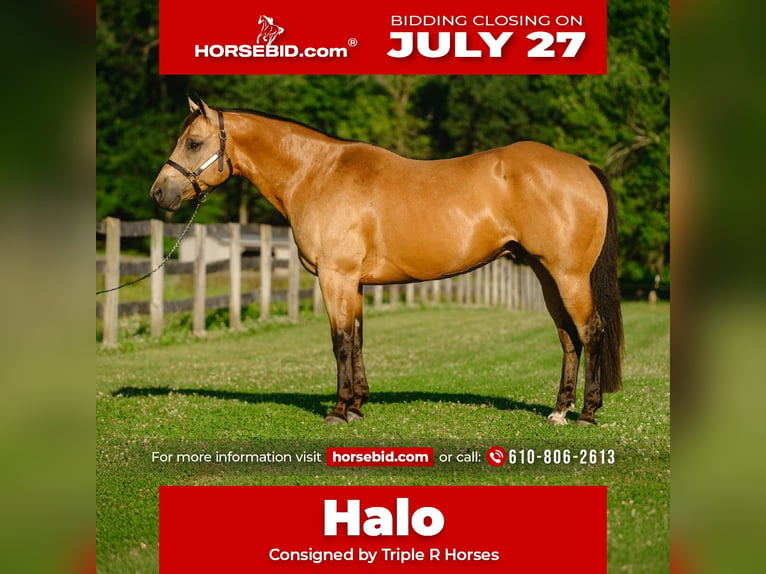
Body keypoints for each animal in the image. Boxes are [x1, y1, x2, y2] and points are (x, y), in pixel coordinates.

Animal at [150, 96, 624, 426]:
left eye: (193, 142)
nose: (160, 193)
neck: (317, 173)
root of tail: (583, 166)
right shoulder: (353, 283)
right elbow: (358, 339)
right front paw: (358, 405)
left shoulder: (335, 277)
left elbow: (341, 341)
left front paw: (339, 410)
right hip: (546, 275)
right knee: (569, 338)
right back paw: (559, 411)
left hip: (568, 275)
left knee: (591, 331)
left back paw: (586, 413)